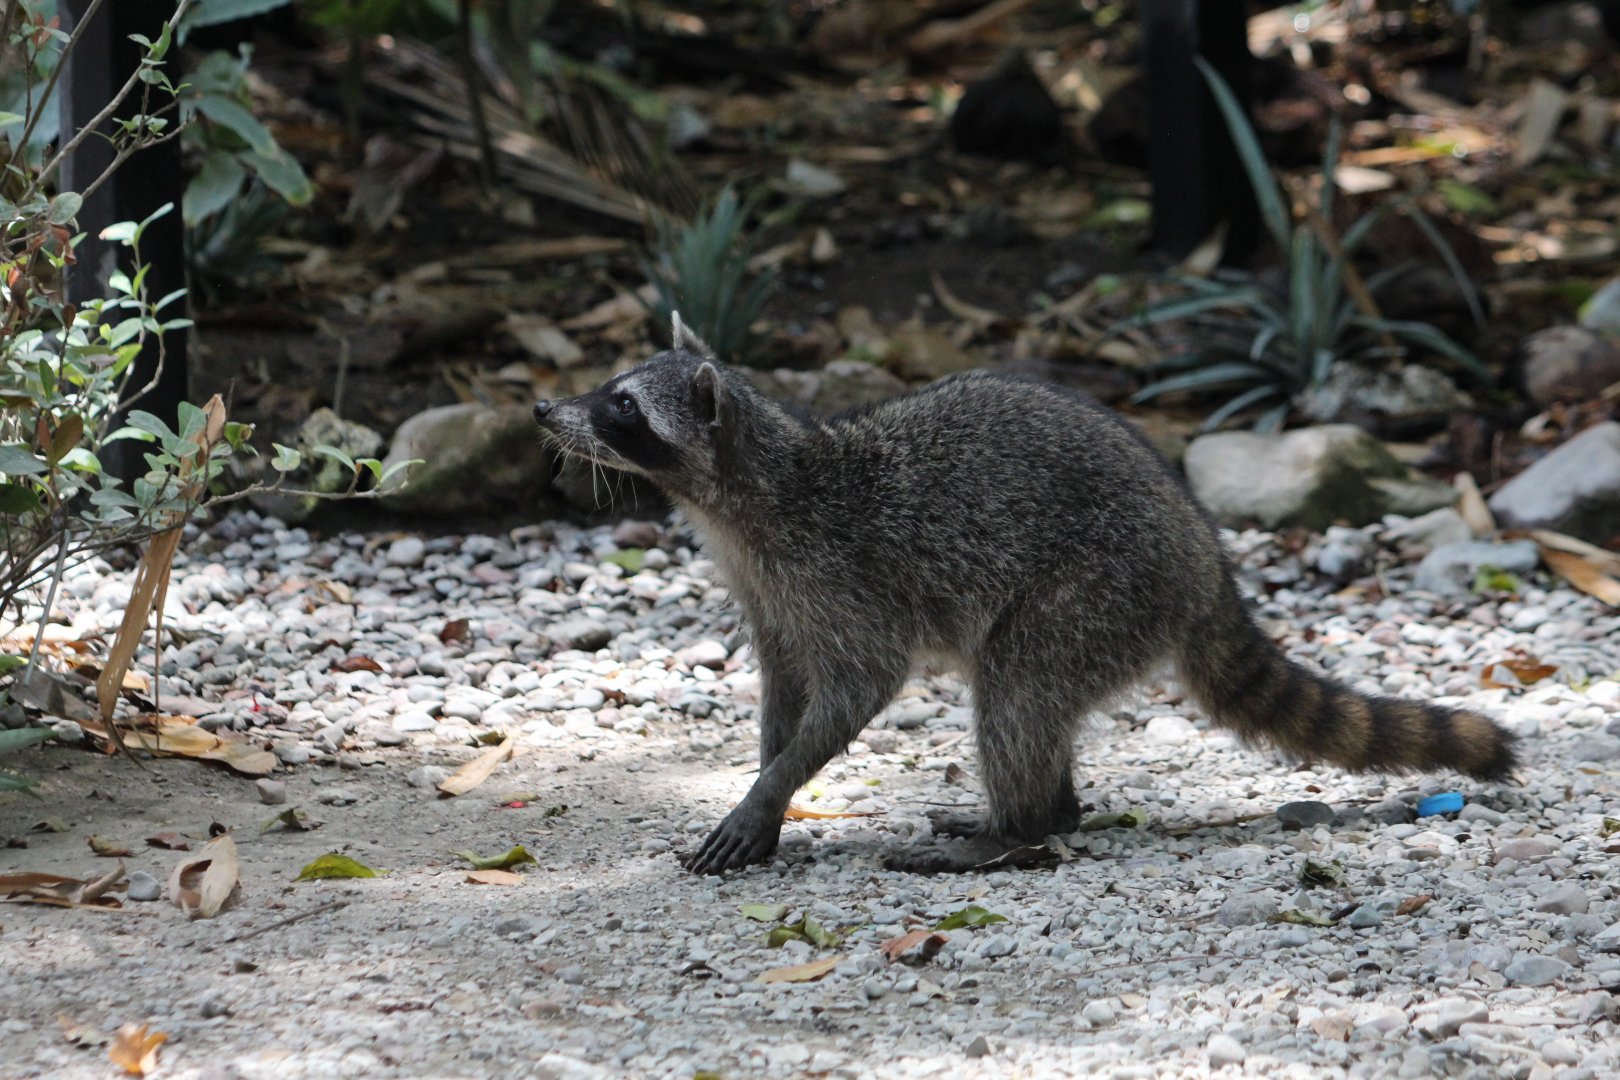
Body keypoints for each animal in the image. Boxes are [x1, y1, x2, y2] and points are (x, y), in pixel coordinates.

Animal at [532, 319, 1517, 874]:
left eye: (621, 407)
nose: (543, 410)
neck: (738, 494)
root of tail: (1206, 560)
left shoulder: (840, 575)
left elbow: (860, 687)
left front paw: (770, 790)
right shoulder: (769, 591)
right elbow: (785, 687)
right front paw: (769, 785)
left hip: (1100, 586)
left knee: (1016, 689)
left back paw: (1017, 829)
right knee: (1031, 700)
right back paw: (1049, 810)